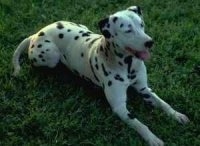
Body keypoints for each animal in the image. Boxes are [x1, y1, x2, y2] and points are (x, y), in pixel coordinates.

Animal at [12, 5, 189, 146]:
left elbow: (163, 103)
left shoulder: (145, 89)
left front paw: (177, 115)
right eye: (128, 30)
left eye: (142, 25)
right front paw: (152, 138)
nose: (150, 42)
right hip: (50, 55)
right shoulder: (119, 107)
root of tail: (36, 34)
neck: (127, 64)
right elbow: (139, 123)